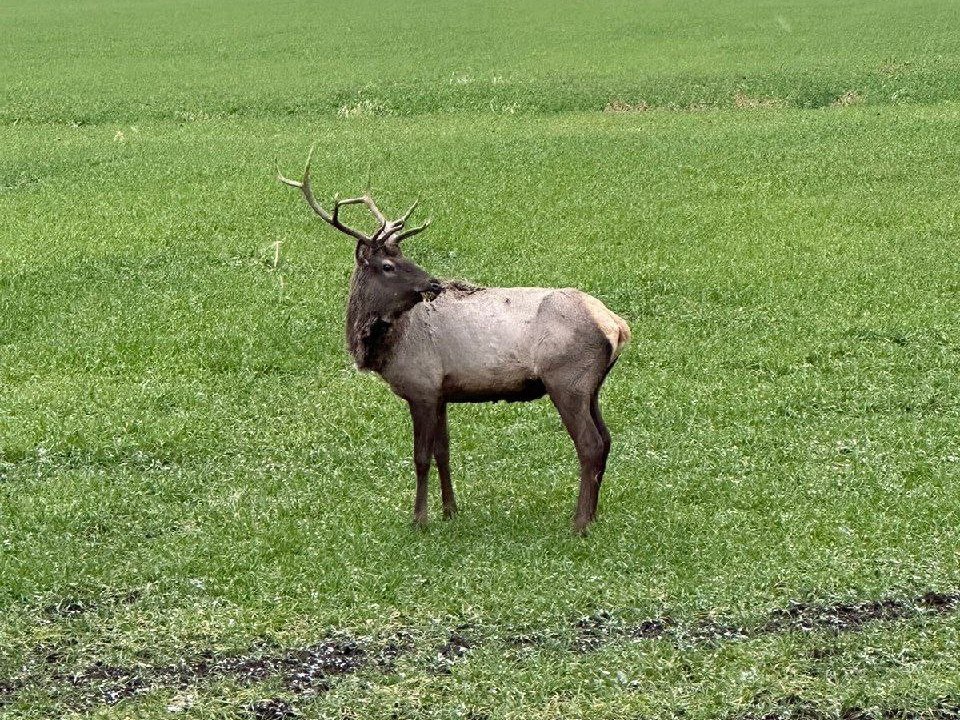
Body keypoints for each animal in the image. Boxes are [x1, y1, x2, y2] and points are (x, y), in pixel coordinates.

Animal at [278, 149, 632, 532]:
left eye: (399, 258)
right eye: (389, 264)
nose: (433, 283)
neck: (386, 348)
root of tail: (617, 326)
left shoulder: (420, 386)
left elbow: (420, 457)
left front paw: (419, 519)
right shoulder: (441, 391)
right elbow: (442, 451)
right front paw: (450, 510)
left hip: (566, 381)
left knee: (590, 444)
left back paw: (579, 523)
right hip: (591, 387)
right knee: (607, 440)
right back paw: (592, 516)